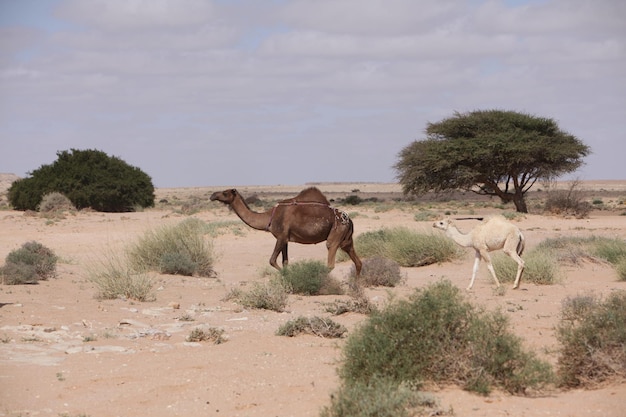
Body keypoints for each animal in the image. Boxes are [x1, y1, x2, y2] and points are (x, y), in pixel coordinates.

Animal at [208, 187, 360, 274]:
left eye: (225, 192)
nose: (212, 195)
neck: (269, 217)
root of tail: (349, 220)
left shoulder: (281, 236)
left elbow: (272, 261)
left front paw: (287, 276)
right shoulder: (285, 239)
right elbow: (285, 262)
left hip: (336, 232)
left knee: (330, 259)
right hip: (346, 239)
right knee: (358, 262)